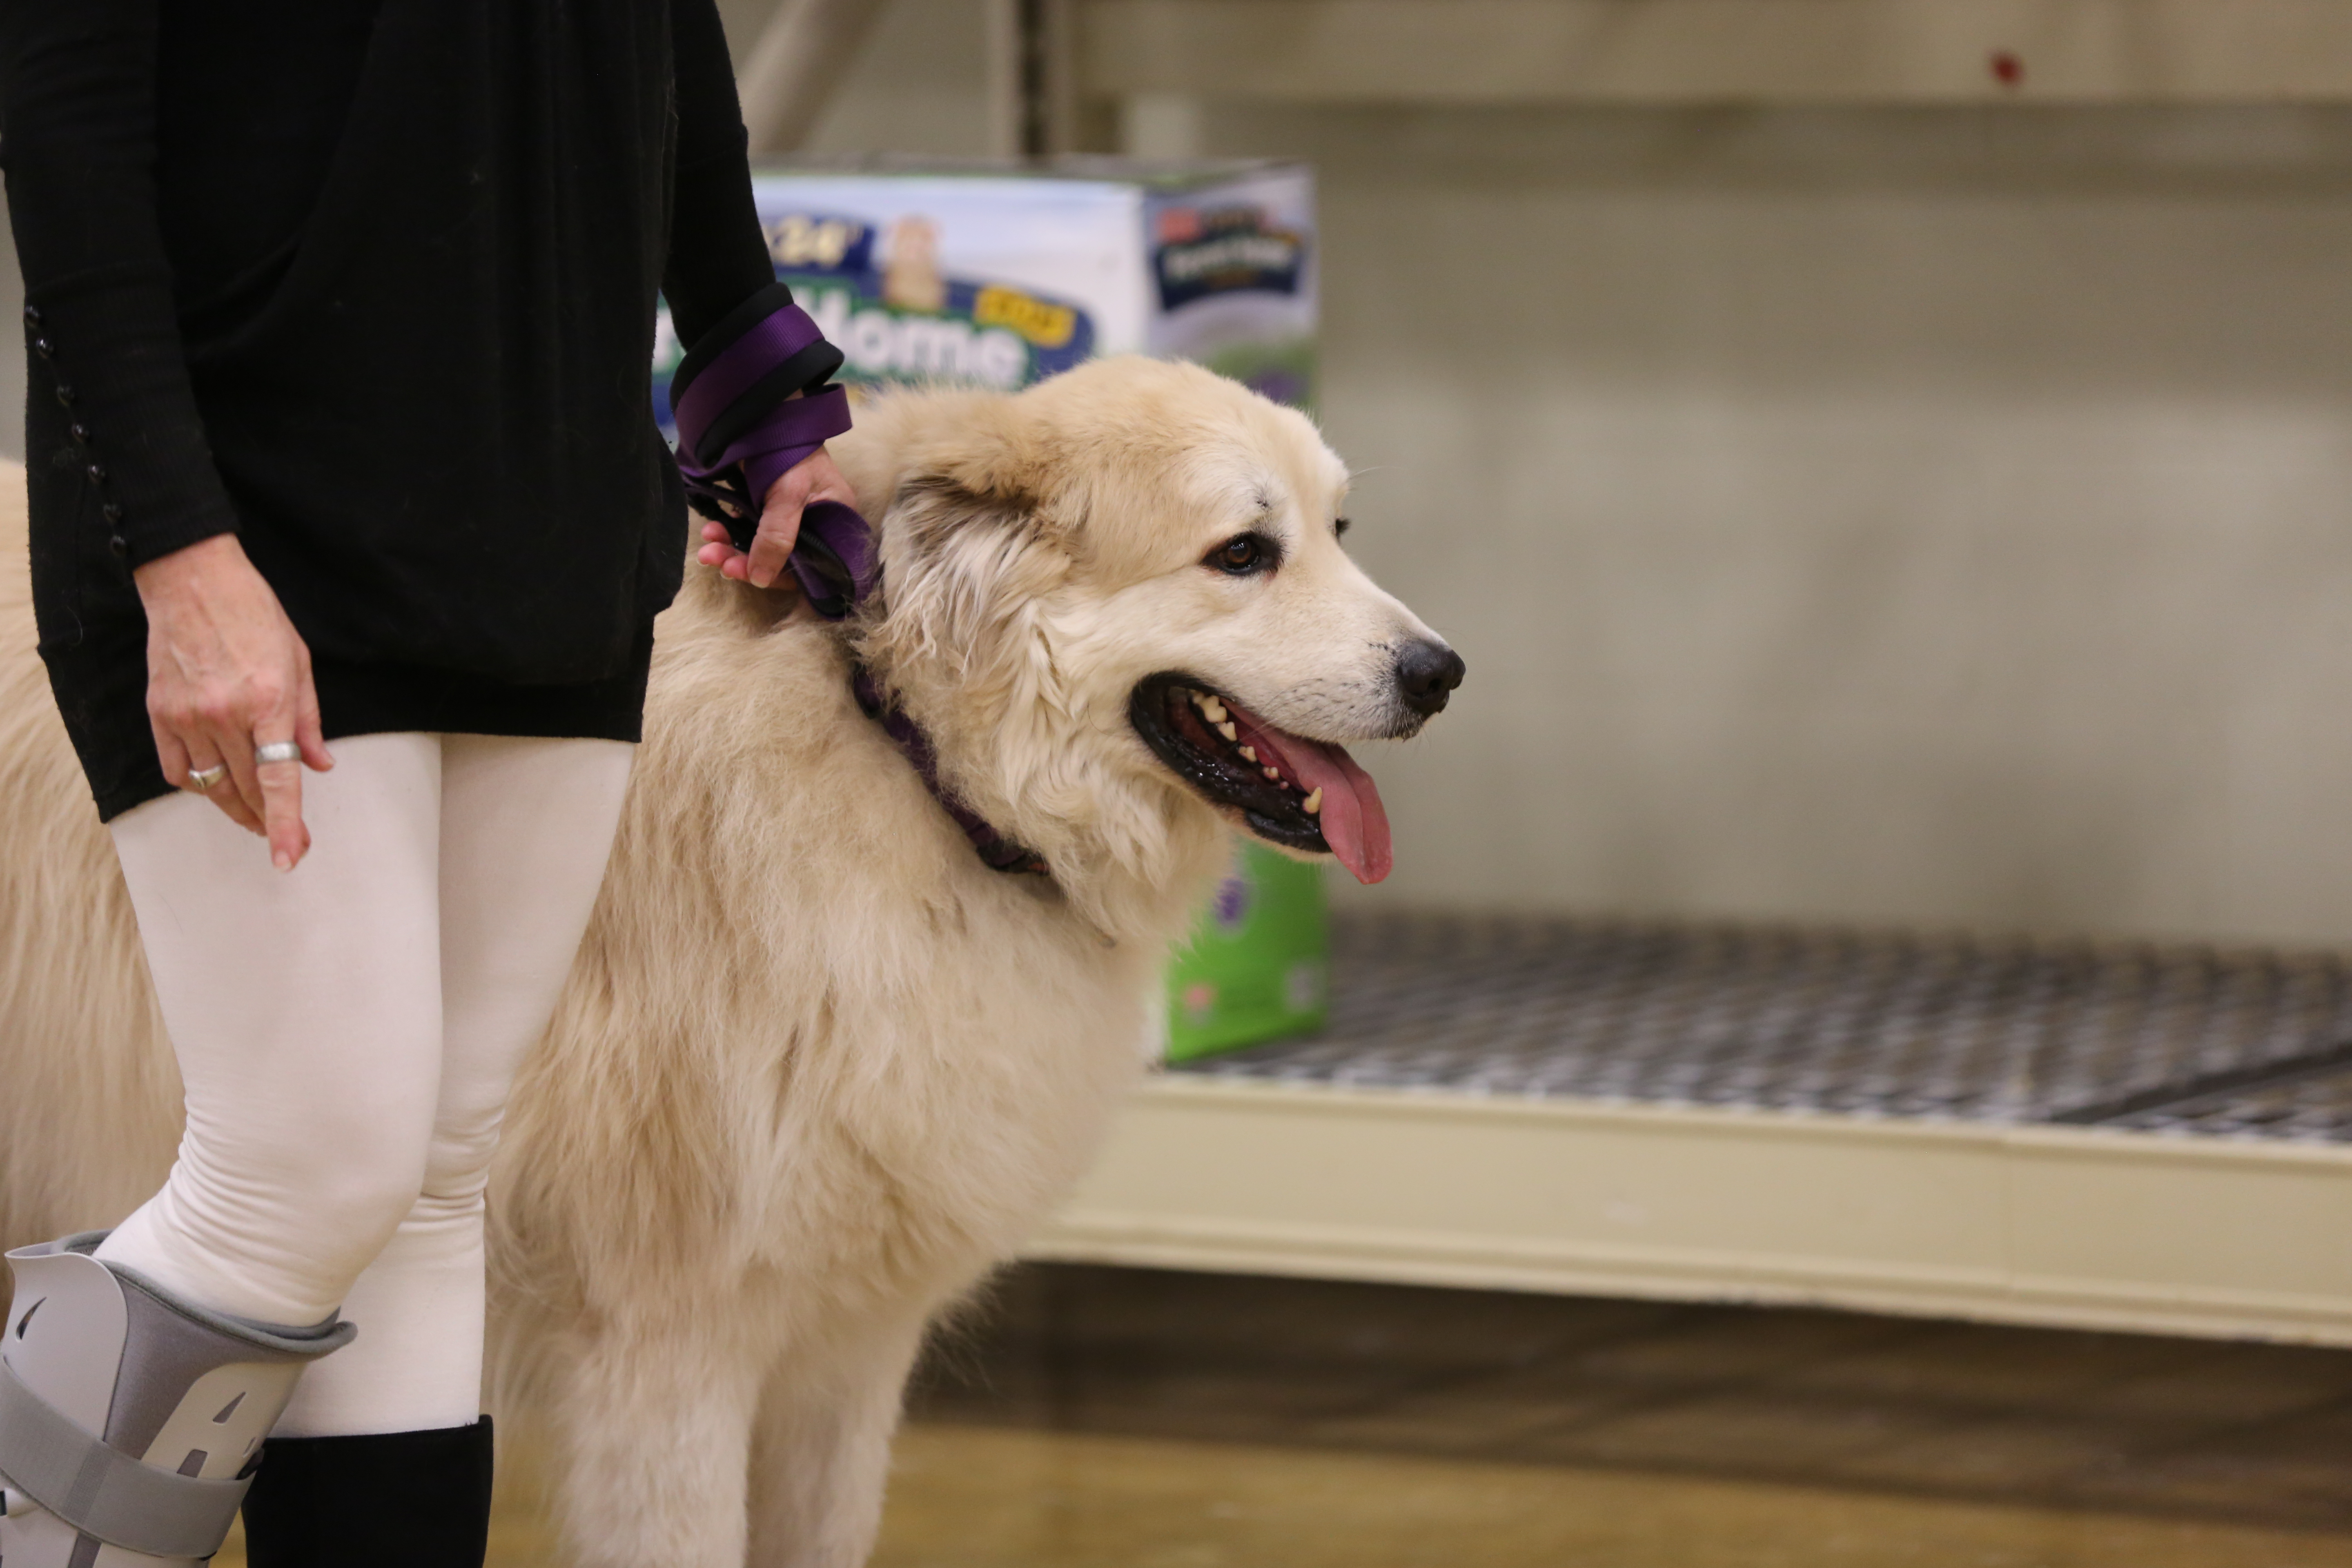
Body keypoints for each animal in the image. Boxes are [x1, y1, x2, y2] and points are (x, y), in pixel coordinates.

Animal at [0, 356, 1461, 1566]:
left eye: (1335, 534)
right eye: (1241, 554)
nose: (1441, 673)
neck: (912, 758)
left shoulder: (846, 1351)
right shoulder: (671, 1358)